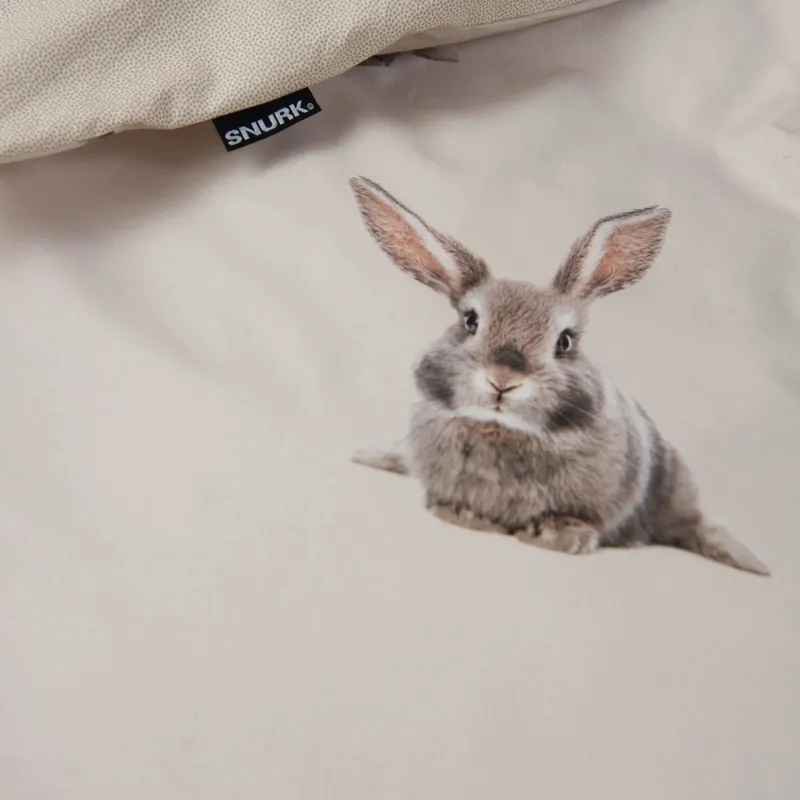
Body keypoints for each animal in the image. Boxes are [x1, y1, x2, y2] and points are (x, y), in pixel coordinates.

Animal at [348, 176, 770, 576]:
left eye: (565, 342)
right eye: (470, 321)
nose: (503, 380)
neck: (503, 429)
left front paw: (557, 536)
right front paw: (464, 516)